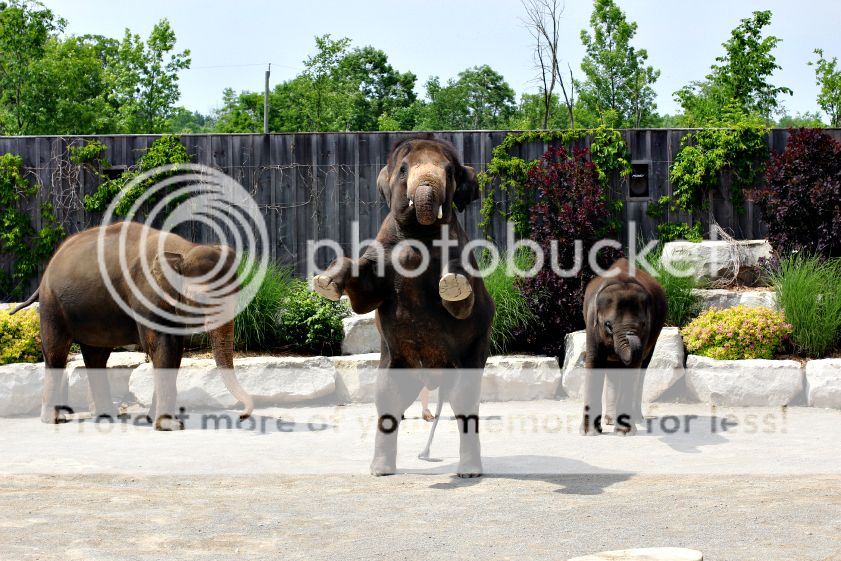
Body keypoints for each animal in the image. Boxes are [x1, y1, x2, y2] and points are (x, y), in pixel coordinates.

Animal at [11, 222, 253, 430]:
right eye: (202, 297)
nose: (243, 416)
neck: (184, 248)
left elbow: (175, 351)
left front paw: (154, 420)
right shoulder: (146, 294)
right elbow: (163, 347)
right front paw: (169, 426)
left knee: (96, 355)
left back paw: (106, 415)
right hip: (52, 304)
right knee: (56, 352)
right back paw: (54, 420)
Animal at [313, 135, 494, 477]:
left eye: (450, 172)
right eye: (403, 170)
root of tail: (433, 380)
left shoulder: (462, 254)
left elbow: (463, 302)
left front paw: (452, 283)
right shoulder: (380, 252)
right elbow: (365, 296)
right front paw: (325, 283)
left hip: (473, 350)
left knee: (464, 399)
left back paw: (469, 471)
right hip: (396, 363)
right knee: (387, 398)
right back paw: (381, 469)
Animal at [580, 258, 666, 436]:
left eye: (643, 324)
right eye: (608, 325)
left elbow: (632, 368)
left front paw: (624, 432)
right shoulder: (591, 322)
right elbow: (594, 361)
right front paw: (589, 433)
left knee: (642, 369)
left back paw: (636, 419)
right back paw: (611, 420)